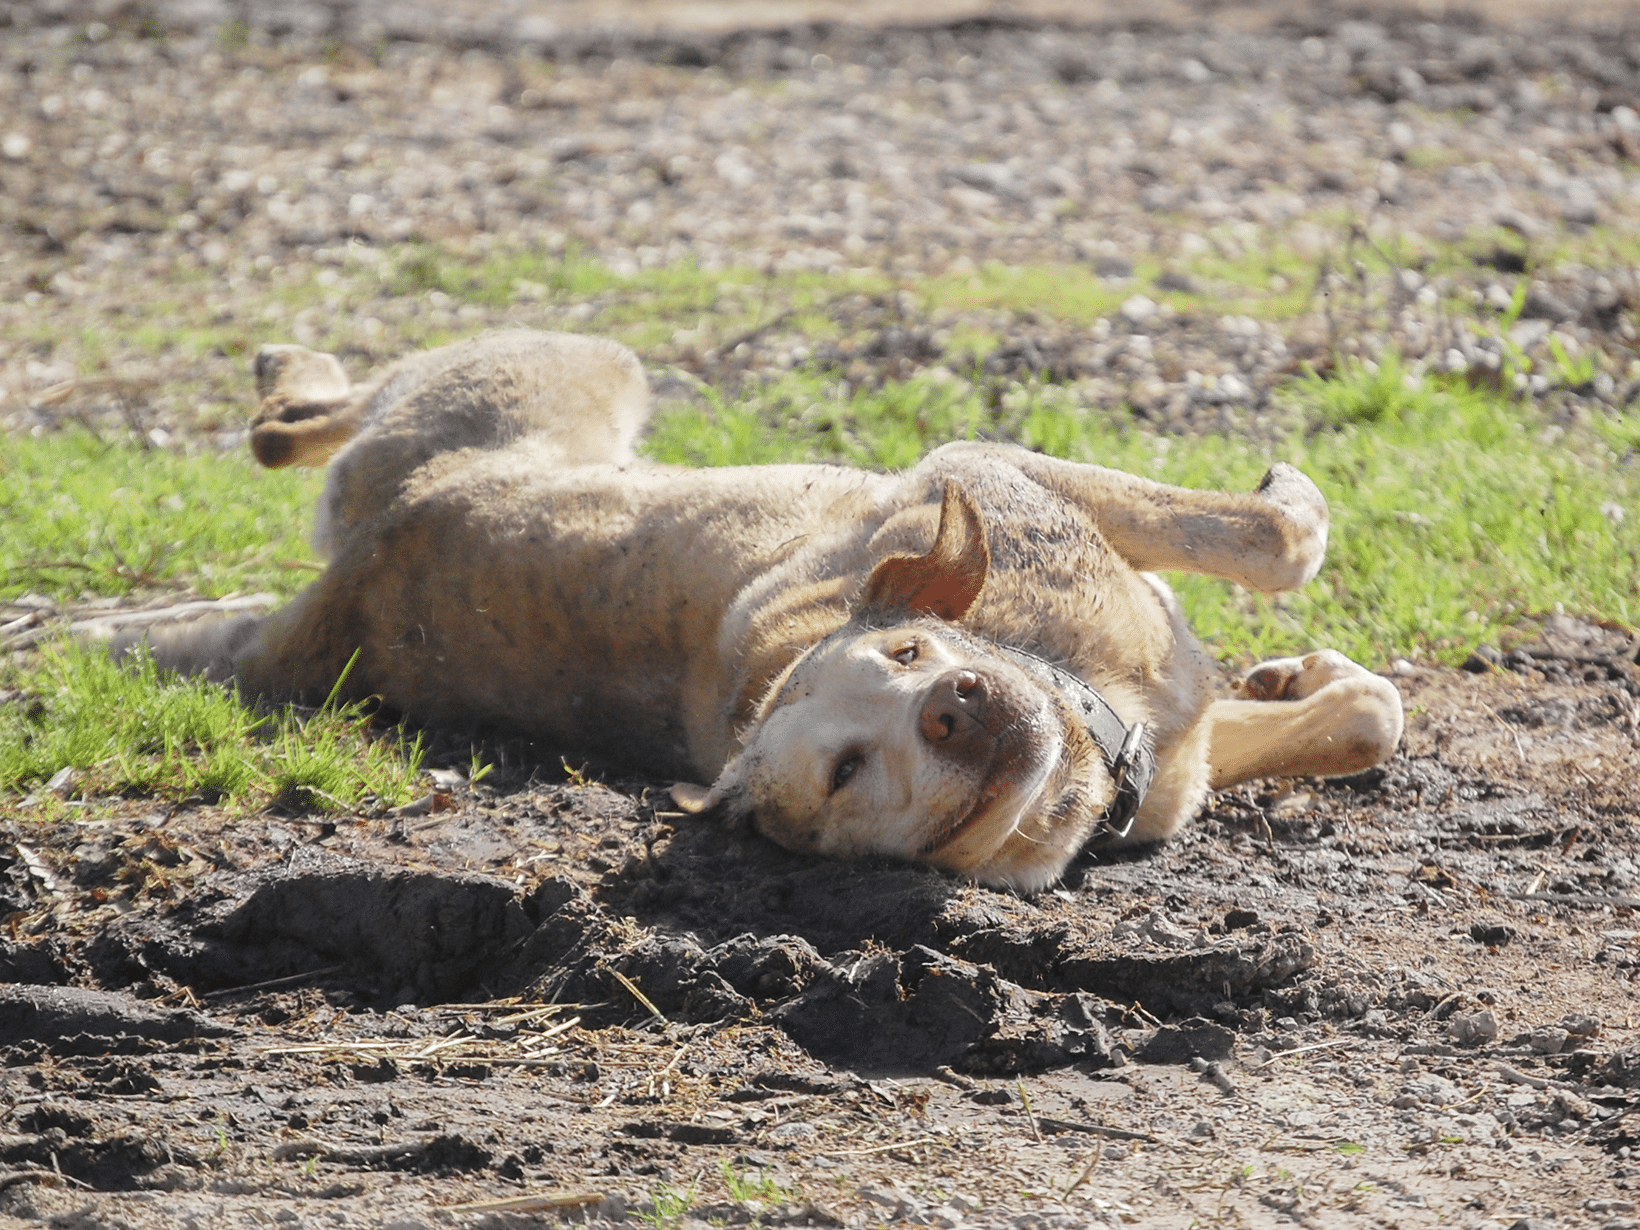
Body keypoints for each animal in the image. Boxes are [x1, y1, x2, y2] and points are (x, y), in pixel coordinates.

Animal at [141, 332, 1403, 892]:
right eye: (845, 771)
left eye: (911, 644)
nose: (956, 705)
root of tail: (360, 579)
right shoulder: (980, 470)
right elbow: (1282, 538)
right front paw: (1289, 506)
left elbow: (1361, 709)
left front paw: (1300, 679)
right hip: (564, 364)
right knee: (295, 422)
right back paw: (288, 369)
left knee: (285, 433)